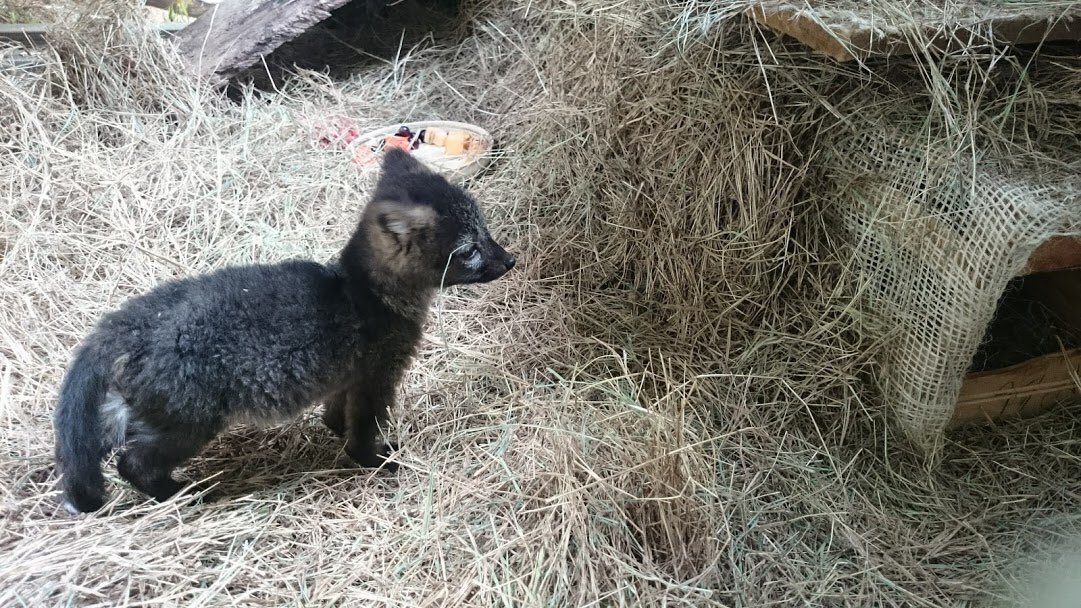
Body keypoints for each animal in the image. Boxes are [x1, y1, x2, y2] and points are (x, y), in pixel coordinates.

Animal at [53, 148, 516, 513]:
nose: (509, 260)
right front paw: (375, 460)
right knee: (133, 464)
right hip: (187, 425)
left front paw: (336, 431)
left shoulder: (345, 377)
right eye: (470, 250)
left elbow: (337, 414)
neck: (361, 290)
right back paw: (182, 493)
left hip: (135, 413)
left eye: (486, 230)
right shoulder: (376, 378)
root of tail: (130, 322)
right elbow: (364, 429)